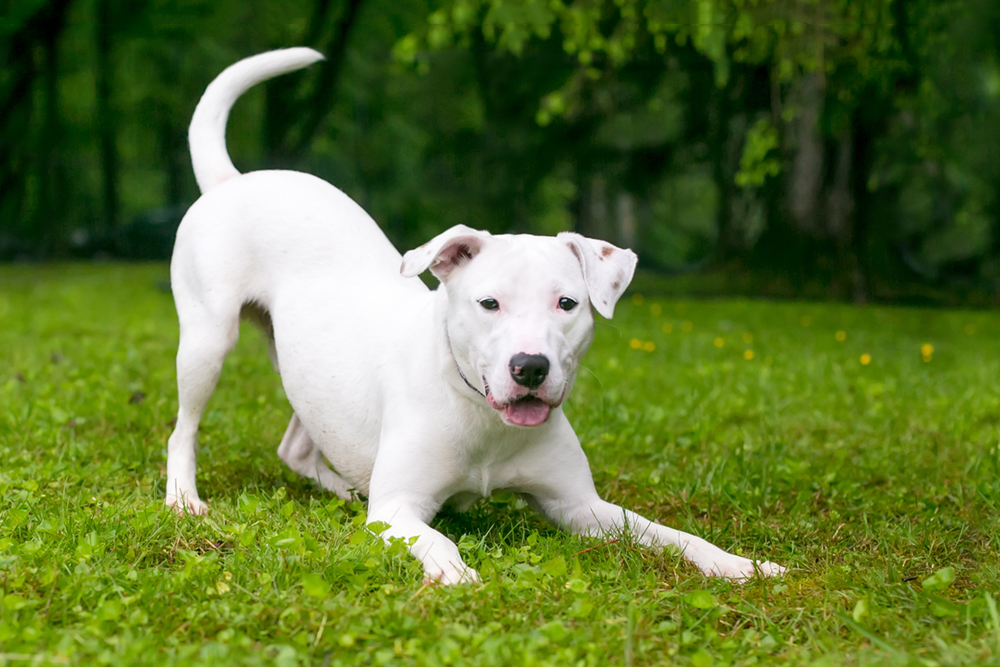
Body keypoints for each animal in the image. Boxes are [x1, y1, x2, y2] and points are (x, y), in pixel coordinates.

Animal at [168, 48, 784, 584]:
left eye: (567, 304)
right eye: (489, 303)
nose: (530, 367)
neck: (479, 413)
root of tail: (233, 180)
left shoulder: (581, 507)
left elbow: (669, 534)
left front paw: (741, 564)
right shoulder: (400, 509)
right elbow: (436, 537)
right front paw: (454, 571)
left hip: (302, 364)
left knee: (297, 445)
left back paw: (343, 487)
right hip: (207, 341)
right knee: (184, 430)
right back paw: (183, 499)